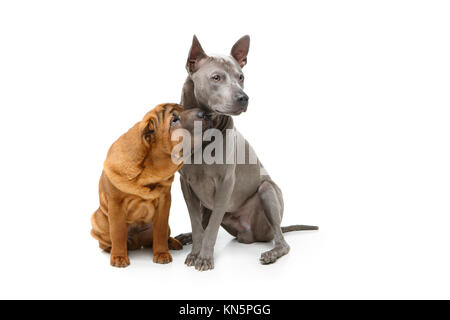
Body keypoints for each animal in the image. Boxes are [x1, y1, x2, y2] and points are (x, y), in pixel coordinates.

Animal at [90, 103, 209, 268]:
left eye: (184, 107)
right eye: (174, 120)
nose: (204, 113)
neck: (149, 171)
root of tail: (137, 242)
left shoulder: (164, 202)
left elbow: (160, 231)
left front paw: (162, 254)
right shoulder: (116, 203)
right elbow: (118, 232)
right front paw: (119, 257)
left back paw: (172, 242)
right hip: (98, 219)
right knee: (107, 240)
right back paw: (112, 249)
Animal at [174, 35, 318, 270]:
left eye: (241, 77)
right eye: (216, 77)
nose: (244, 98)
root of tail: (250, 235)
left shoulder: (225, 183)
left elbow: (211, 229)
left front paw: (204, 257)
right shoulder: (186, 184)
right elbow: (197, 224)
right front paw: (195, 251)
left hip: (267, 191)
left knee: (282, 241)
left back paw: (272, 253)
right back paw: (185, 237)